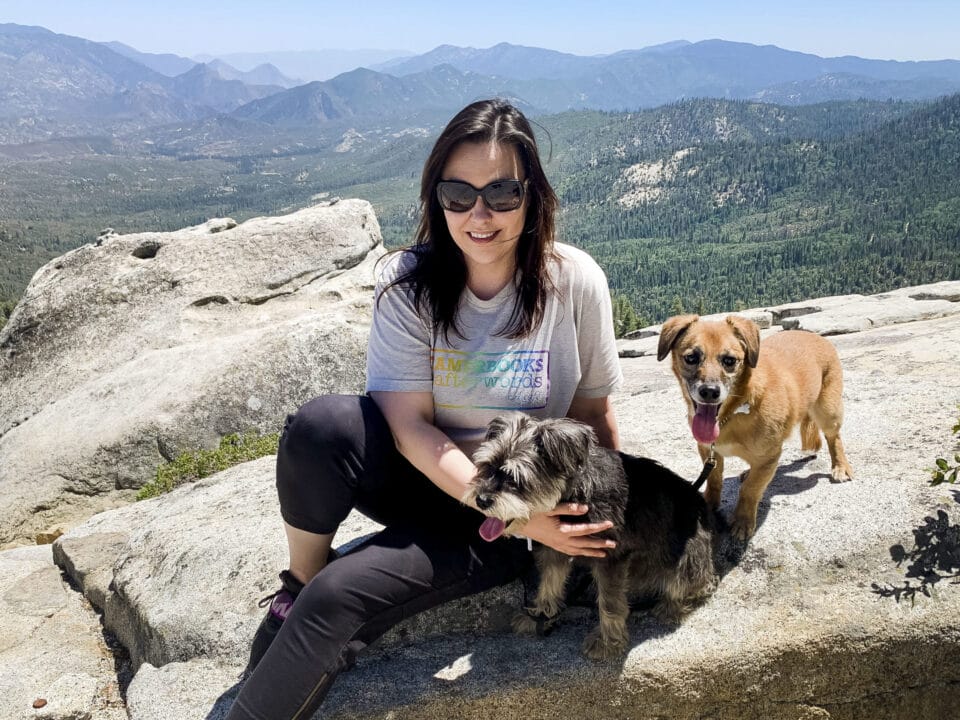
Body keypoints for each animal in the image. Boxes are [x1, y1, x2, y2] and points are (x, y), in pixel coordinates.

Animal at [462, 414, 716, 660]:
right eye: (487, 466)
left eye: (515, 478)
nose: (481, 500)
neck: (575, 494)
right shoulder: (555, 547)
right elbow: (549, 582)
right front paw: (540, 616)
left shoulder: (611, 558)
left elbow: (610, 603)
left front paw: (607, 643)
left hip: (686, 559)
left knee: (696, 583)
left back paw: (671, 606)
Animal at [656, 316, 852, 540]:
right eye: (691, 358)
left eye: (729, 361)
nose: (710, 392)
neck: (734, 412)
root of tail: (815, 336)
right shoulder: (709, 451)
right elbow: (714, 480)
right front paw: (709, 504)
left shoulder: (769, 458)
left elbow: (750, 490)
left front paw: (743, 521)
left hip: (828, 412)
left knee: (834, 438)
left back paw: (840, 466)